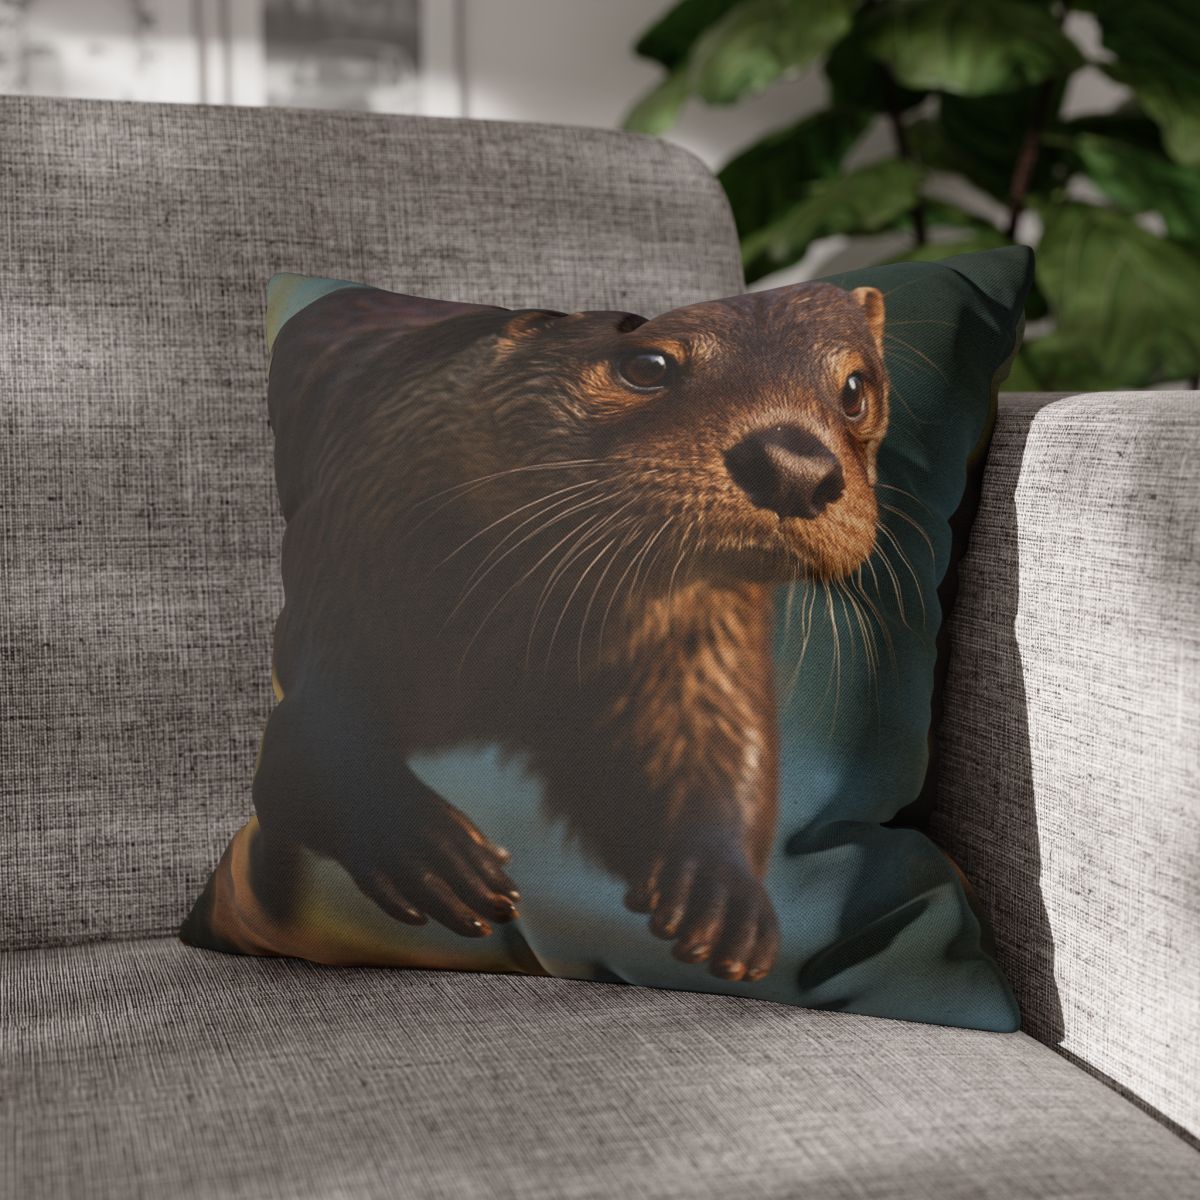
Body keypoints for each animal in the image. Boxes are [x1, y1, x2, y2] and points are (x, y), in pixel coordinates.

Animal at [196, 280, 889, 985]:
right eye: (647, 366)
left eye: (854, 389)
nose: (794, 466)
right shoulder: (351, 550)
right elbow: (313, 732)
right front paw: (419, 844)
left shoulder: (703, 640)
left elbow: (713, 739)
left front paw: (720, 892)